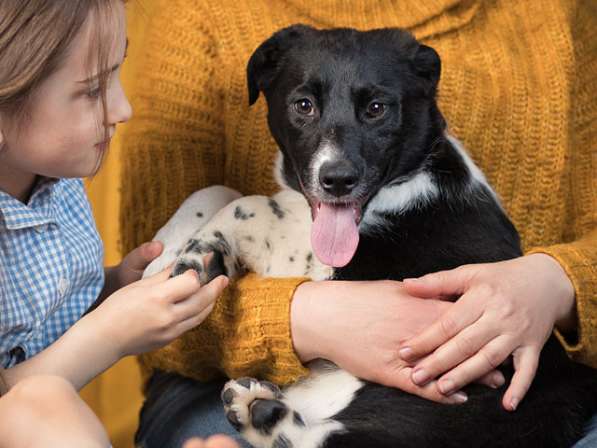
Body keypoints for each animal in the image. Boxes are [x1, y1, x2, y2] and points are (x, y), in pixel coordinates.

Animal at [144, 25, 596, 448]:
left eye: (377, 109)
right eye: (304, 105)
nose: (338, 180)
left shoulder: (320, 264)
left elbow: (250, 203)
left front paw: (200, 252)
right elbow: (217, 189)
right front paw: (164, 253)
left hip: (440, 400)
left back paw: (262, 414)